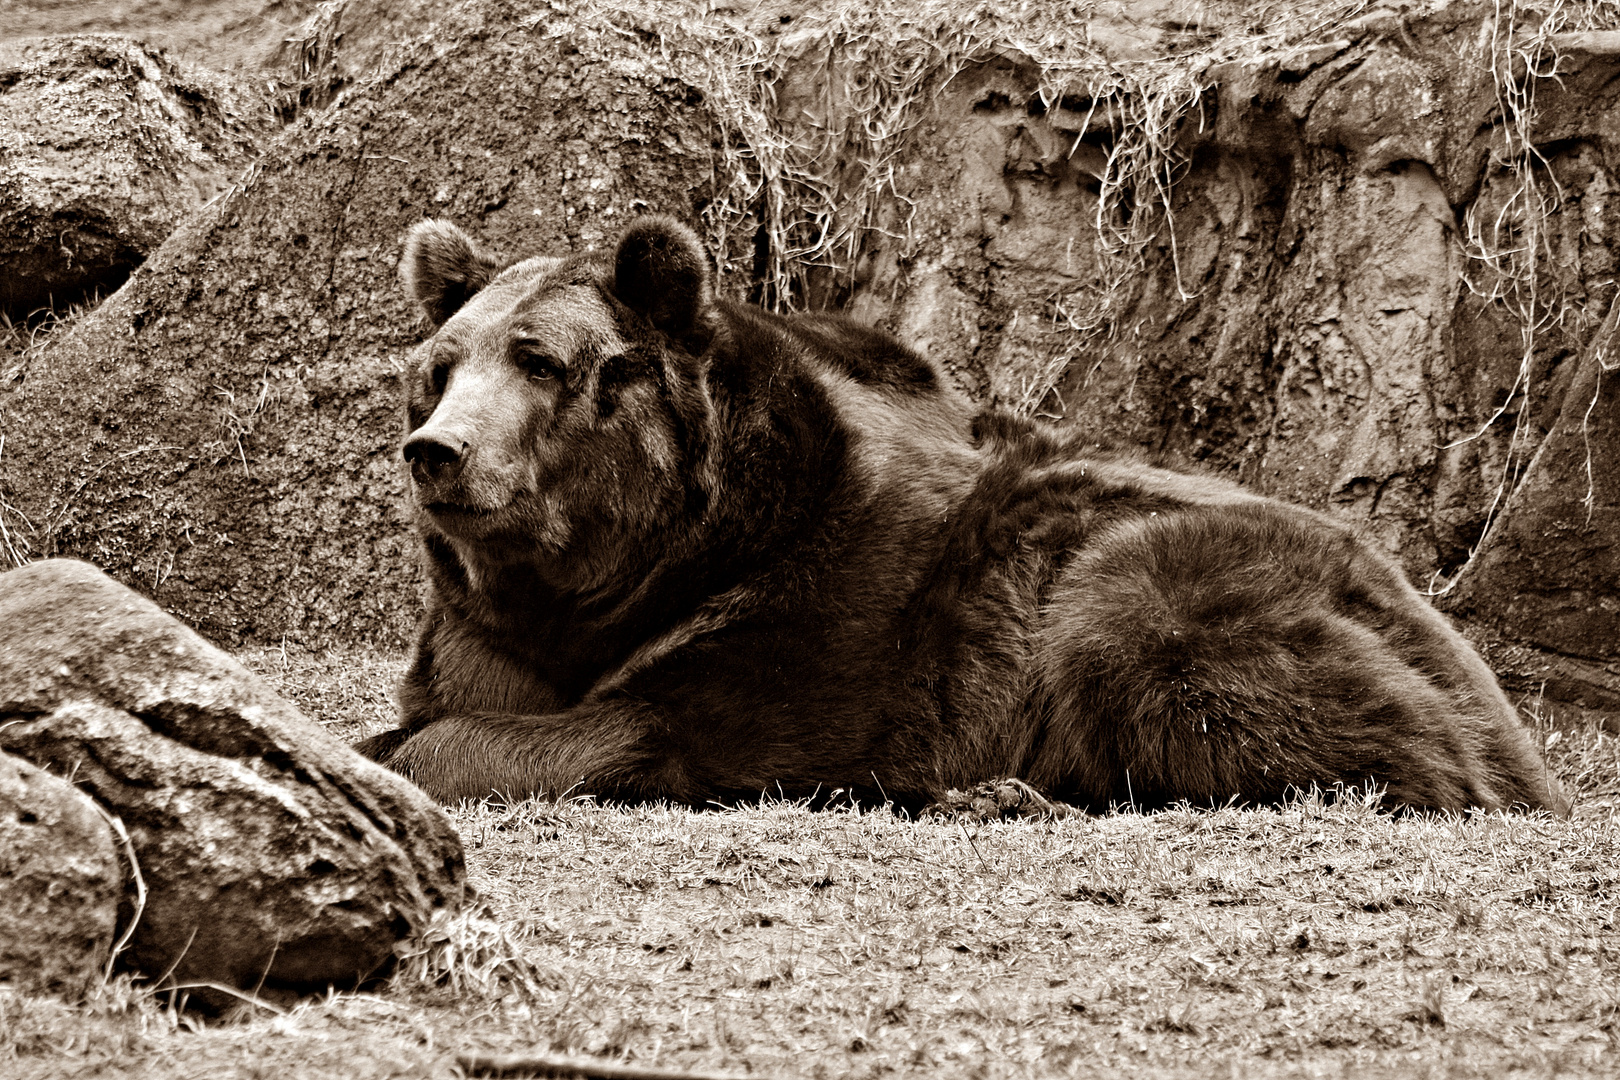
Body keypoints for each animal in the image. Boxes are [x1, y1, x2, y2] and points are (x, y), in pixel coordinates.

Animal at [358, 215, 1568, 816]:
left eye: (541, 362)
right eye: (440, 366)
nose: (439, 454)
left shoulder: (809, 619)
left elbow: (641, 724)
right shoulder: (500, 625)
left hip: (1167, 573)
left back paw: (1011, 793)